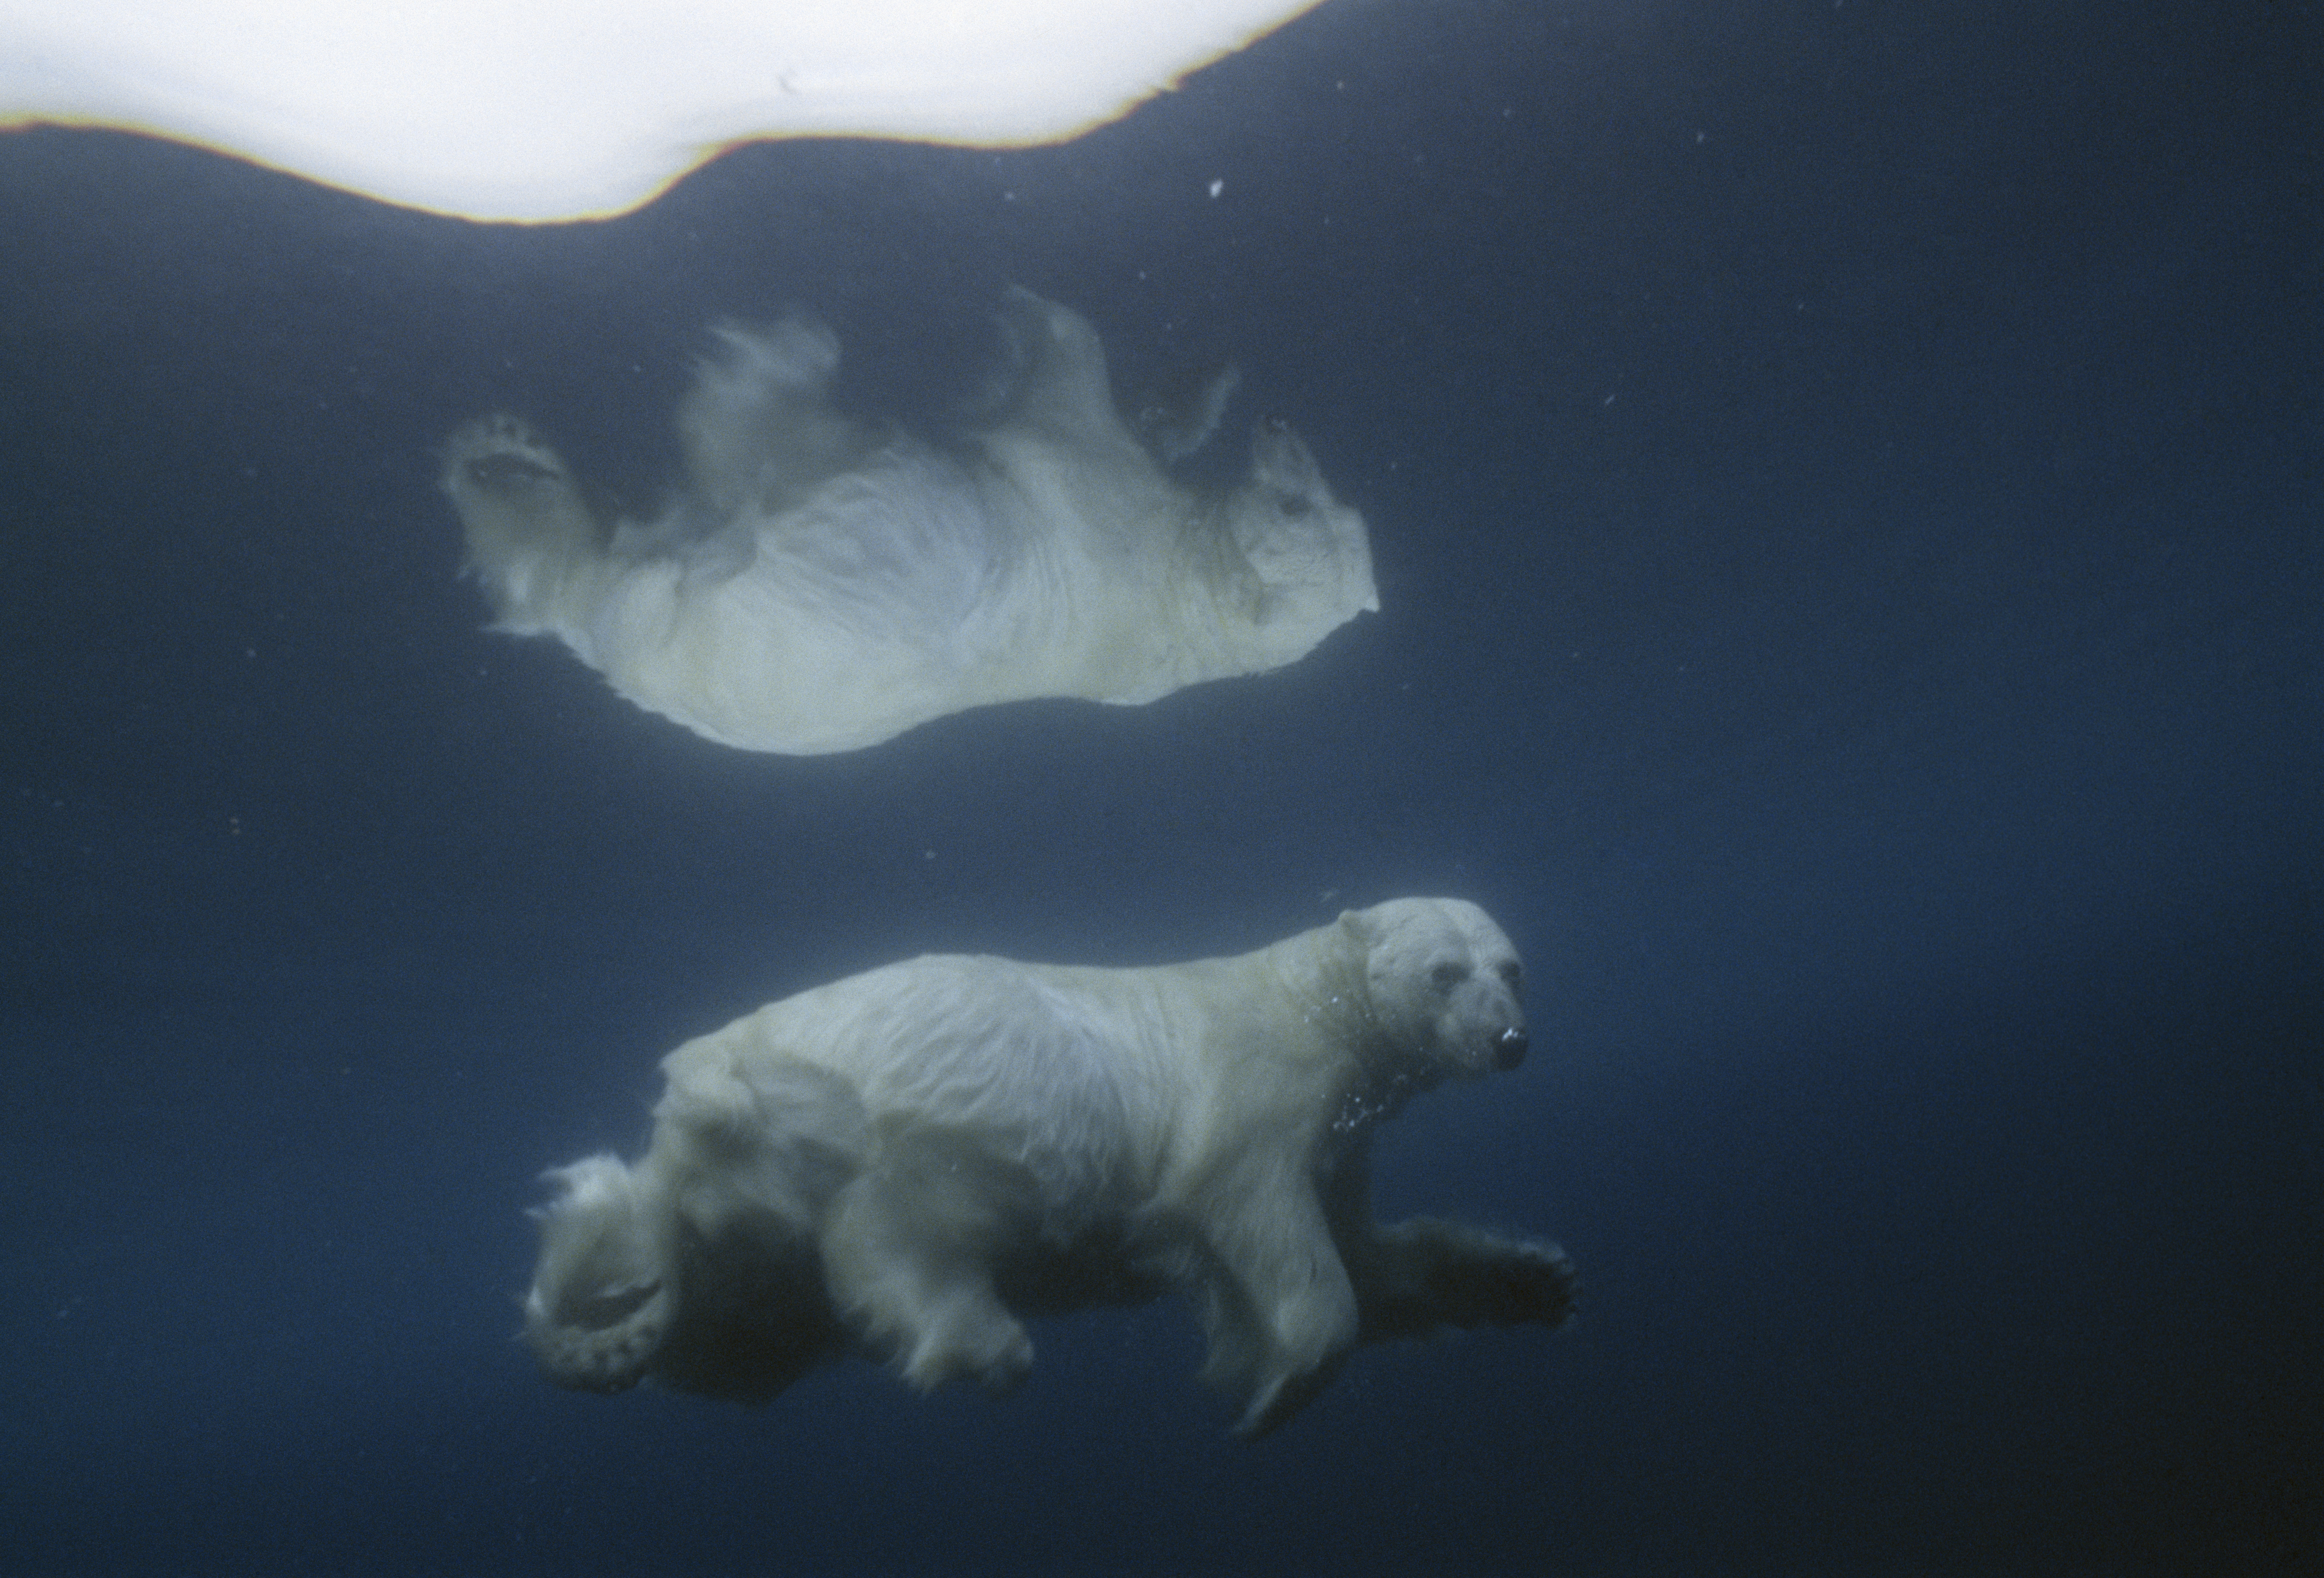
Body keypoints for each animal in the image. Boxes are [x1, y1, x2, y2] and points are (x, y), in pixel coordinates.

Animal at [444, 292, 1366, 758]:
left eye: (1299, 505)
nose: (1278, 426)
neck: (1186, 597)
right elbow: (1137, 414)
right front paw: (1207, 383)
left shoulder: (1090, 498)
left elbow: (1068, 376)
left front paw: (1029, 316)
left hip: (747, 613)